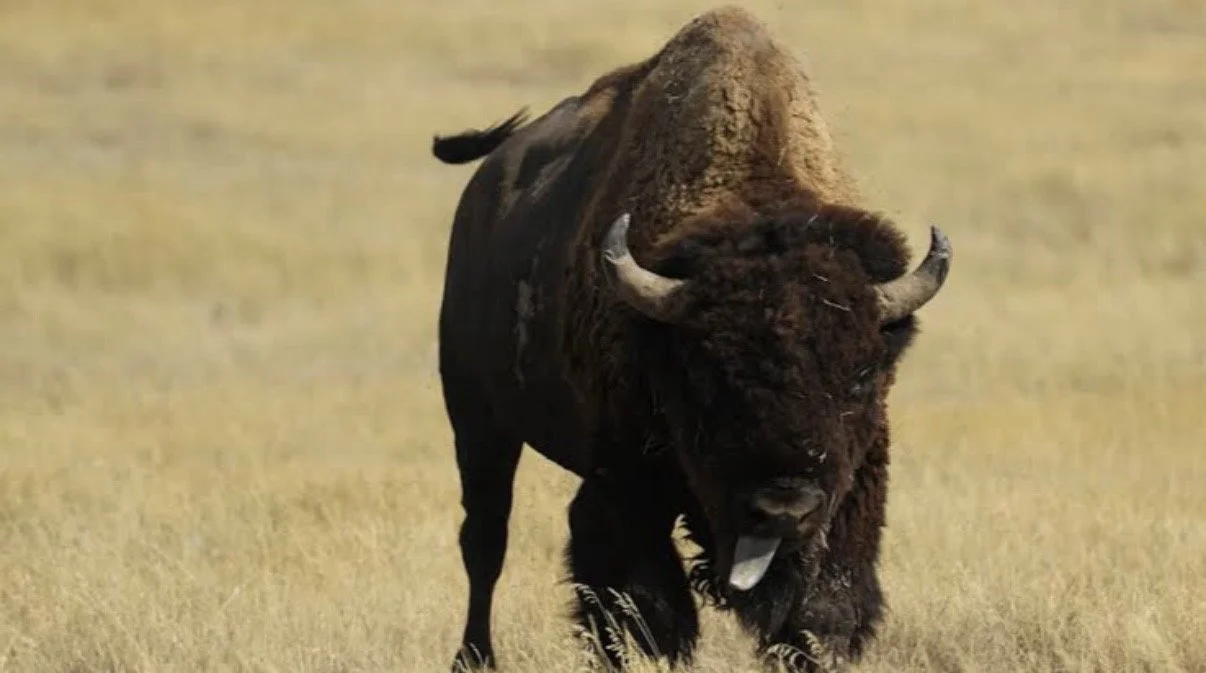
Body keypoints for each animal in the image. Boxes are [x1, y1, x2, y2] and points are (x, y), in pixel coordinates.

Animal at [429, 6, 952, 672]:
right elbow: (644, 599)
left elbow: (825, 603)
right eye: (707, 378)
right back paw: (474, 656)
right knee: (485, 539)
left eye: (861, 376)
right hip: (477, 415)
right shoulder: (624, 476)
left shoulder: (855, 482)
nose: (783, 508)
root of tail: (485, 186)